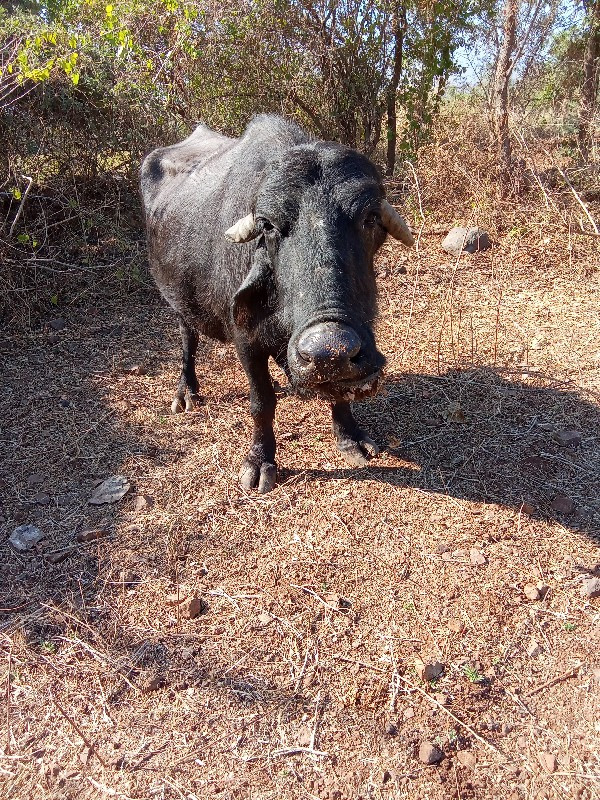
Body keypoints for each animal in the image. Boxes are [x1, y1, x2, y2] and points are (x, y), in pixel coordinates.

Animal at [141, 115, 412, 490]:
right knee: (187, 337)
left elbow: (339, 393)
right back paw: (186, 392)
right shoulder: (245, 340)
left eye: (370, 218)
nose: (329, 350)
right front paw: (260, 461)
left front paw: (351, 438)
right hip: (178, 301)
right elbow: (262, 402)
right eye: (267, 225)